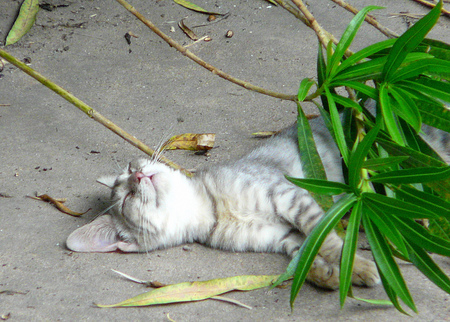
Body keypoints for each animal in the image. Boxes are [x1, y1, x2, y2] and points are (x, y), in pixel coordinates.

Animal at [67, 118, 382, 290]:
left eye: (132, 168)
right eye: (126, 199)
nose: (139, 175)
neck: (213, 209)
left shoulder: (288, 195)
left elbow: (327, 239)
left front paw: (359, 267)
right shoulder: (280, 235)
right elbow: (305, 249)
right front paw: (326, 274)